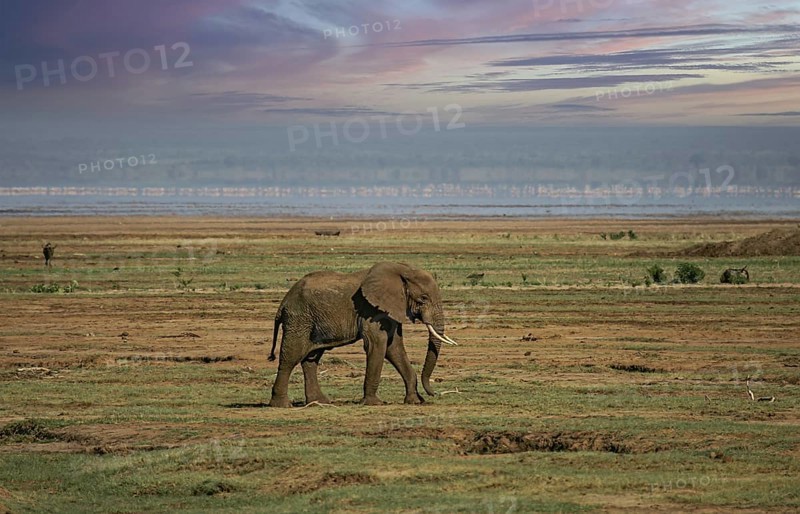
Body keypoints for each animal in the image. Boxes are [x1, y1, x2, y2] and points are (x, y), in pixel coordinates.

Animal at [267, 262, 458, 407]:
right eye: (423, 298)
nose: (434, 393)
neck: (402, 270)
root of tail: (283, 302)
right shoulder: (370, 310)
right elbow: (377, 344)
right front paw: (375, 403)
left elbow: (394, 347)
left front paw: (414, 401)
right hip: (299, 319)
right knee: (291, 356)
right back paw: (282, 405)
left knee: (311, 358)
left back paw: (319, 402)